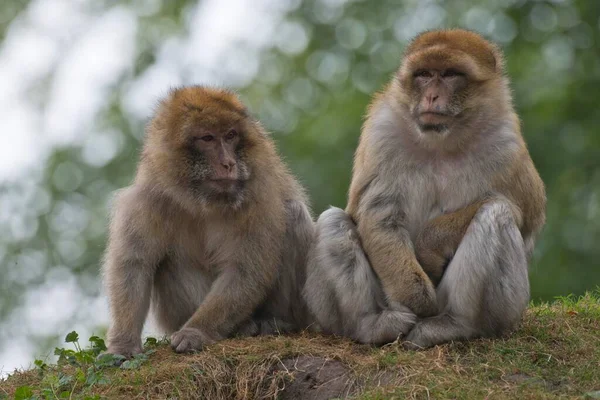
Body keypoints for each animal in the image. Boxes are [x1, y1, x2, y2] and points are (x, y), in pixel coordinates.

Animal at [102, 86, 314, 354]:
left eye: (231, 135)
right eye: (208, 138)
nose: (229, 163)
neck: (203, 200)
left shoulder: (260, 196)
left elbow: (246, 269)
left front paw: (196, 332)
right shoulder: (148, 198)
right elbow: (134, 264)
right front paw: (123, 344)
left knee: (294, 214)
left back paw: (274, 321)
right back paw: (243, 326)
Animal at [304, 28, 544, 348]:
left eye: (451, 74)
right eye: (425, 74)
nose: (431, 95)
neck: (441, 142)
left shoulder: (506, 143)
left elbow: (525, 214)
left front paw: (430, 246)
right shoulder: (382, 133)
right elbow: (378, 216)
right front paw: (416, 298)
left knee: (497, 213)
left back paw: (454, 325)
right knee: (333, 221)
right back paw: (373, 325)